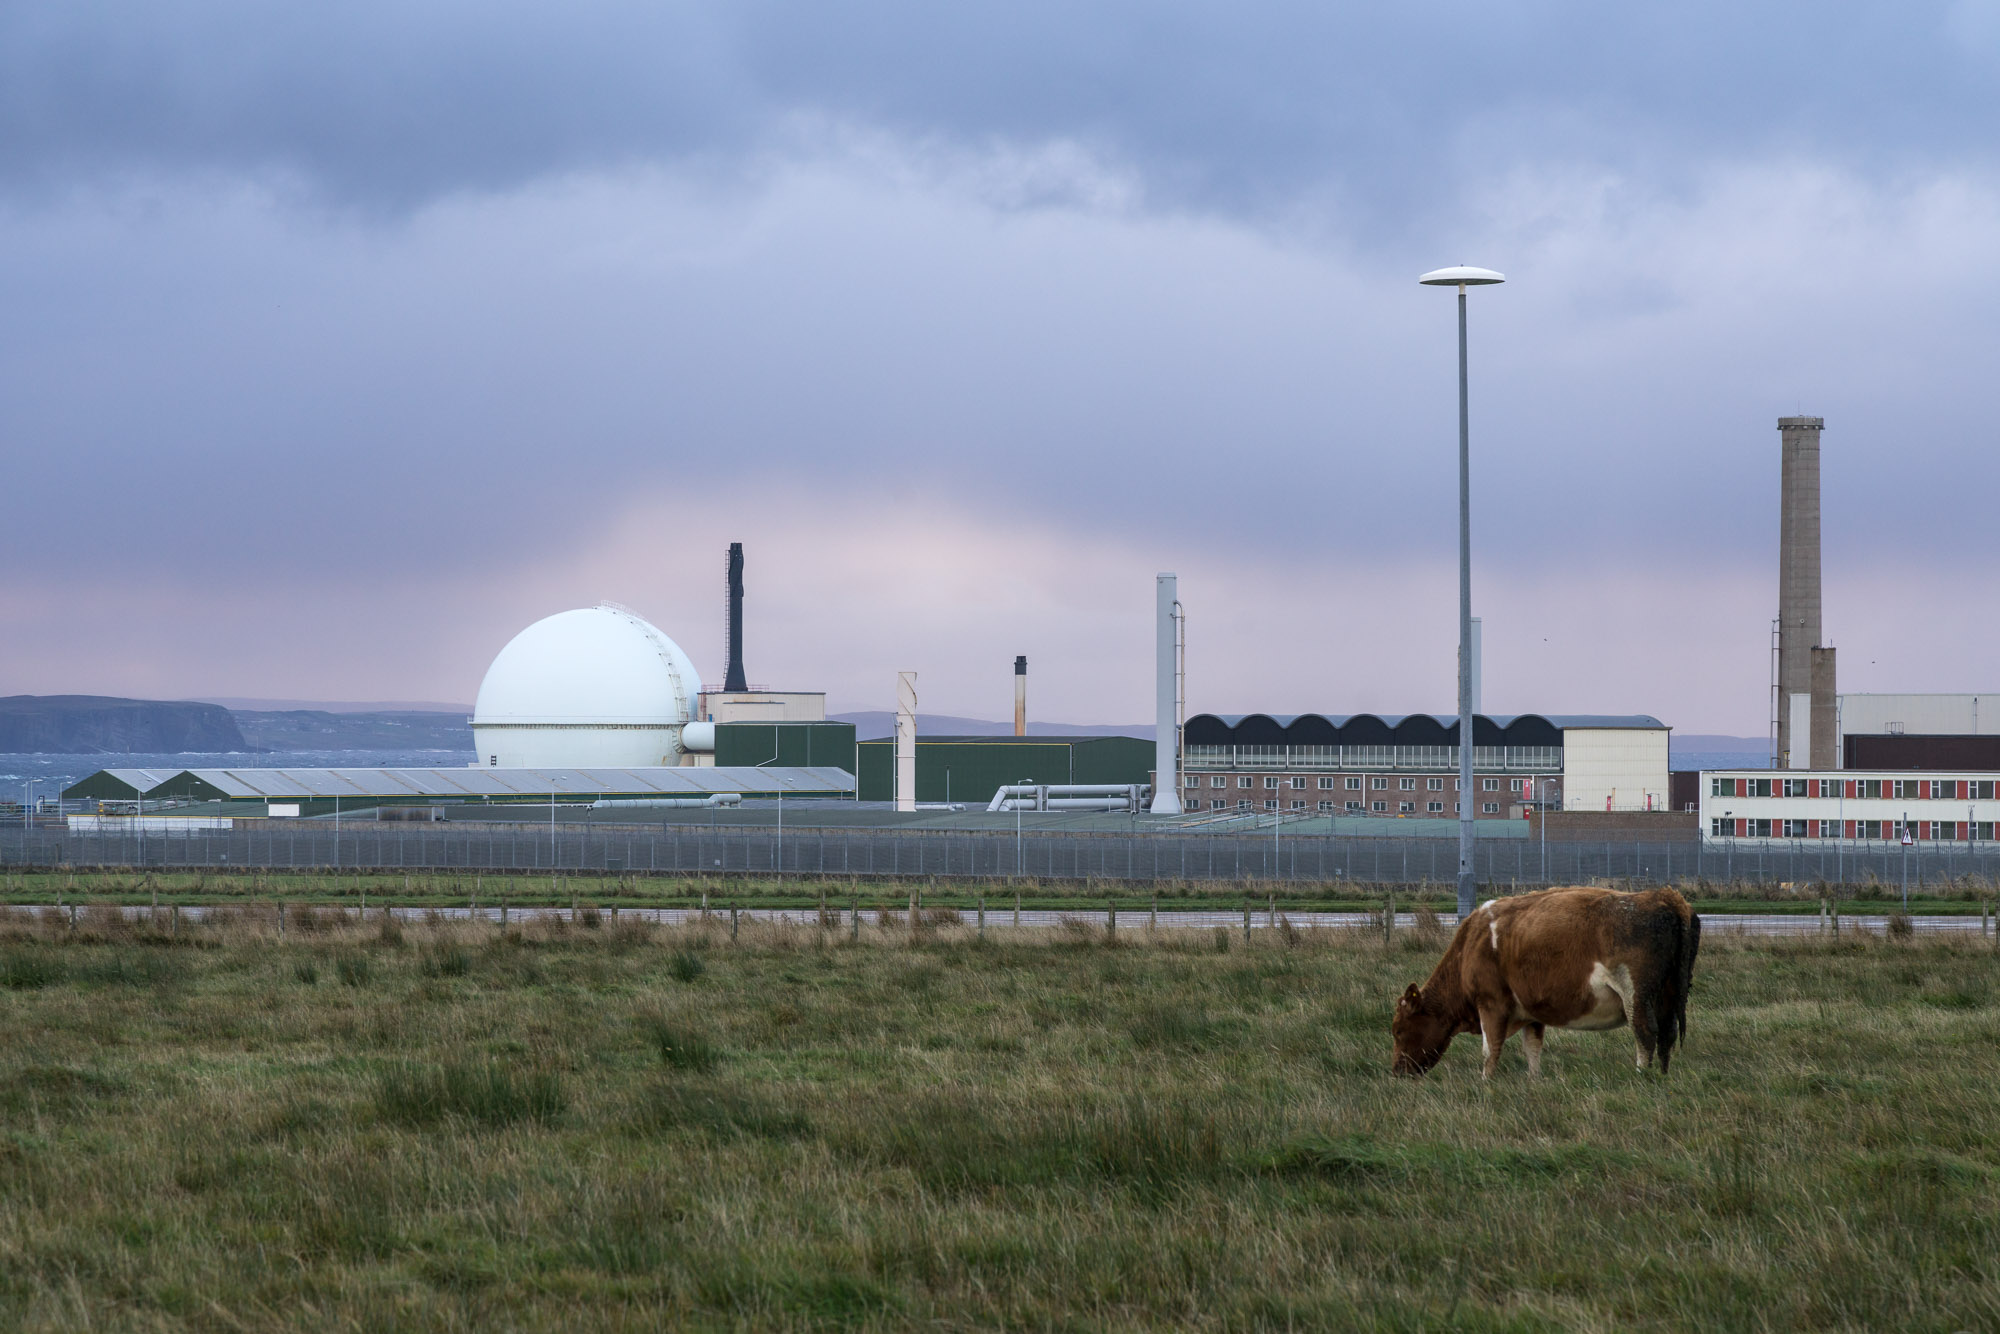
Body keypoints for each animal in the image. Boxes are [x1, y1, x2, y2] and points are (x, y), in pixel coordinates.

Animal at [1392, 888, 1704, 1088]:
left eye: (1397, 1030)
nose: (1396, 1072)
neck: (1473, 943)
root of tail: (1664, 896)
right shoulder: (1531, 1011)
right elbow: (1532, 1048)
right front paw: (1534, 1081)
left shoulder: (1491, 1004)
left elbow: (1490, 1049)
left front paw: (1485, 1082)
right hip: (1668, 996)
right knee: (1667, 1034)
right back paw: (1662, 1076)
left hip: (1635, 993)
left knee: (1645, 1033)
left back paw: (1641, 1077)